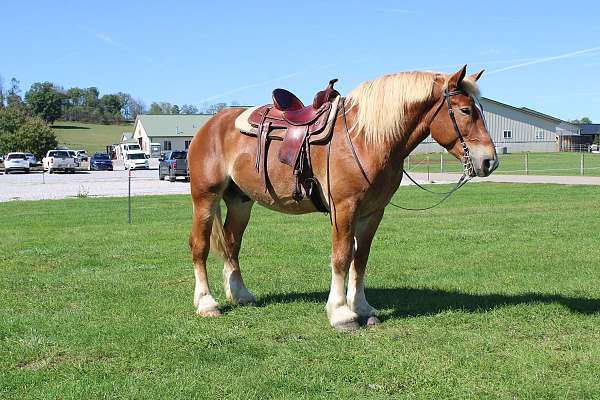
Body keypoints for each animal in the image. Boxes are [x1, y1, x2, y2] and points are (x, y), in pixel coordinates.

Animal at [186, 65, 496, 330]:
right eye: (466, 110)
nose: (489, 161)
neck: (365, 139)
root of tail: (211, 125)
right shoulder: (344, 208)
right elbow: (342, 256)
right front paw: (341, 313)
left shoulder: (373, 212)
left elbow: (361, 258)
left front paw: (362, 308)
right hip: (205, 198)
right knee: (200, 246)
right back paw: (207, 303)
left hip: (240, 202)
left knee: (231, 244)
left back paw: (240, 295)